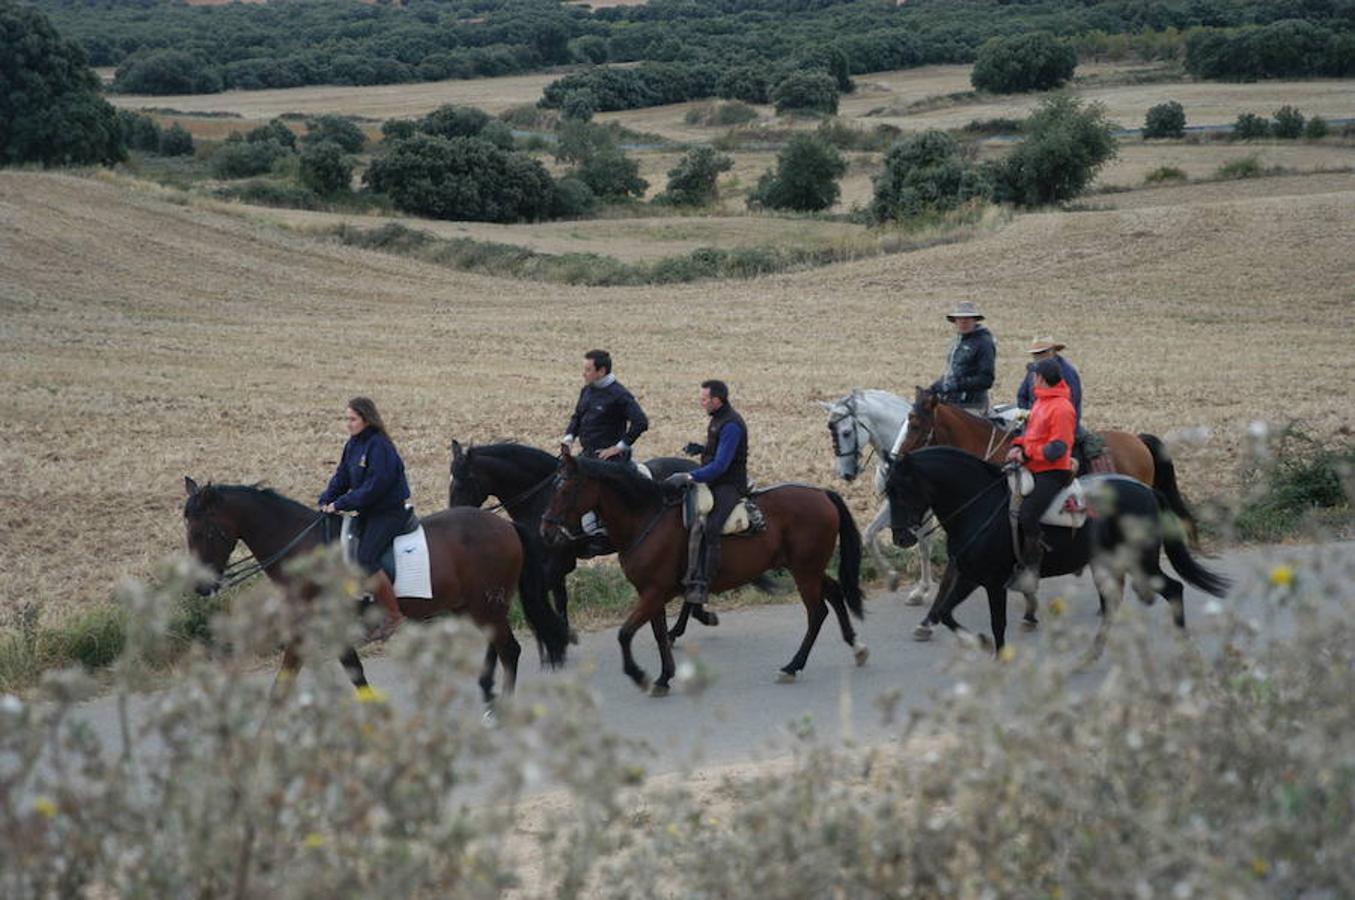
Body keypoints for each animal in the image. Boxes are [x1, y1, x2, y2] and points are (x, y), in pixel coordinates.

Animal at [181, 477, 566, 704]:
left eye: (204, 531)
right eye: (187, 530)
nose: (201, 586)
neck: (305, 552)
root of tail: (506, 526)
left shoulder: (310, 628)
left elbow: (287, 681)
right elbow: (352, 673)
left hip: (487, 604)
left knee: (509, 650)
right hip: (474, 605)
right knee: (496, 645)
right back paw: (487, 691)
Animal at [449, 439, 715, 637]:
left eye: (464, 481)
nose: (454, 515)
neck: (541, 498)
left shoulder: (556, 564)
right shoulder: (553, 564)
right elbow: (561, 600)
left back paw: (685, 624)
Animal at [539, 450, 867, 693]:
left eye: (565, 488)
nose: (546, 530)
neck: (647, 518)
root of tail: (823, 494)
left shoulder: (654, 591)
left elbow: (625, 633)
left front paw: (638, 674)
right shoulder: (651, 592)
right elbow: (657, 633)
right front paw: (664, 677)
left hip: (805, 571)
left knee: (817, 613)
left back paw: (793, 665)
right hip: (807, 568)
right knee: (835, 593)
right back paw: (856, 646)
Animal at [818, 387, 937, 604]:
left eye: (846, 432)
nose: (844, 473)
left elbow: (925, 545)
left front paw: (922, 589)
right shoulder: (894, 504)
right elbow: (869, 535)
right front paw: (893, 579)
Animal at [883, 447, 1235, 653]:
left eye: (902, 489)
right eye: (887, 490)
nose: (900, 538)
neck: (978, 506)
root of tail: (1147, 491)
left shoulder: (993, 581)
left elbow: (998, 624)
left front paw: (998, 656)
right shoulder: (971, 575)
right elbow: (945, 612)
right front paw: (978, 641)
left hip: (1142, 561)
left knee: (1173, 588)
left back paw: (1183, 643)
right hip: (1109, 562)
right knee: (1114, 602)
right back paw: (1093, 652)